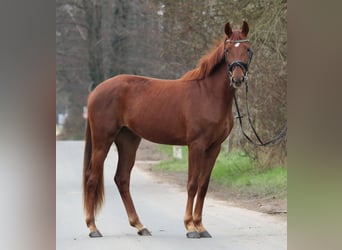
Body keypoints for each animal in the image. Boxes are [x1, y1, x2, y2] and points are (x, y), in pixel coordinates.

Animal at [83, 21, 254, 238]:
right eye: (227, 50)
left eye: (247, 49)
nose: (238, 79)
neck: (208, 94)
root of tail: (95, 91)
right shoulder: (196, 145)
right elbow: (192, 184)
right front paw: (190, 227)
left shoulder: (214, 147)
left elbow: (203, 185)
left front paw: (201, 226)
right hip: (102, 141)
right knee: (92, 177)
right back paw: (93, 228)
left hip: (128, 141)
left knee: (122, 179)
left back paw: (140, 225)